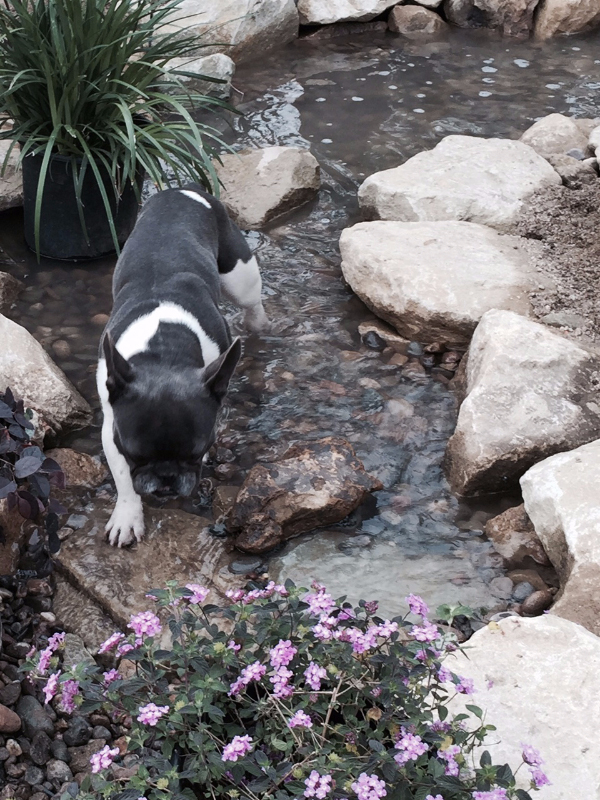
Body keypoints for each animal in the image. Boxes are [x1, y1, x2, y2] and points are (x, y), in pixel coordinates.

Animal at [96, 184, 270, 548]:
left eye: (195, 451)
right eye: (136, 454)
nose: (166, 477)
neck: (165, 352)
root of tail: (182, 189)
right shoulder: (111, 427)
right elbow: (122, 477)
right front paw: (127, 515)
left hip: (239, 274)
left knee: (252, 304)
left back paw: (259, 325)